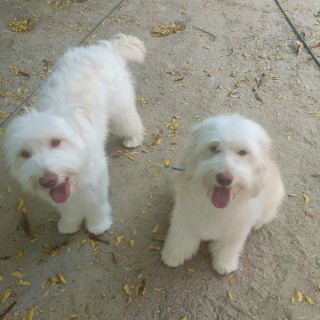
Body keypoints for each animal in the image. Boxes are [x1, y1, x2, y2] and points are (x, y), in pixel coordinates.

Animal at [2, 34, 145, 235]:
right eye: (24, 154)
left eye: (55, 142)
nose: (48, 180)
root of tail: (104, 47)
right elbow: (69, 208)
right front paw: (70, 224)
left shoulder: (95, 182)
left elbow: (95, 205)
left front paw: (98, 224)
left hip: (120, 105)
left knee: (129, 120)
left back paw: (133, 138)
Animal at [161, 115, 284, 276]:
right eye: (214, 148)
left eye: (242, 152)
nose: (224, 179)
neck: (216, 207)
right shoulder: (185, 217)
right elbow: (180, 237)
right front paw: (173, 255)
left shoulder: (236, 229)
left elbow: (229, 246)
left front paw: (225, 263)